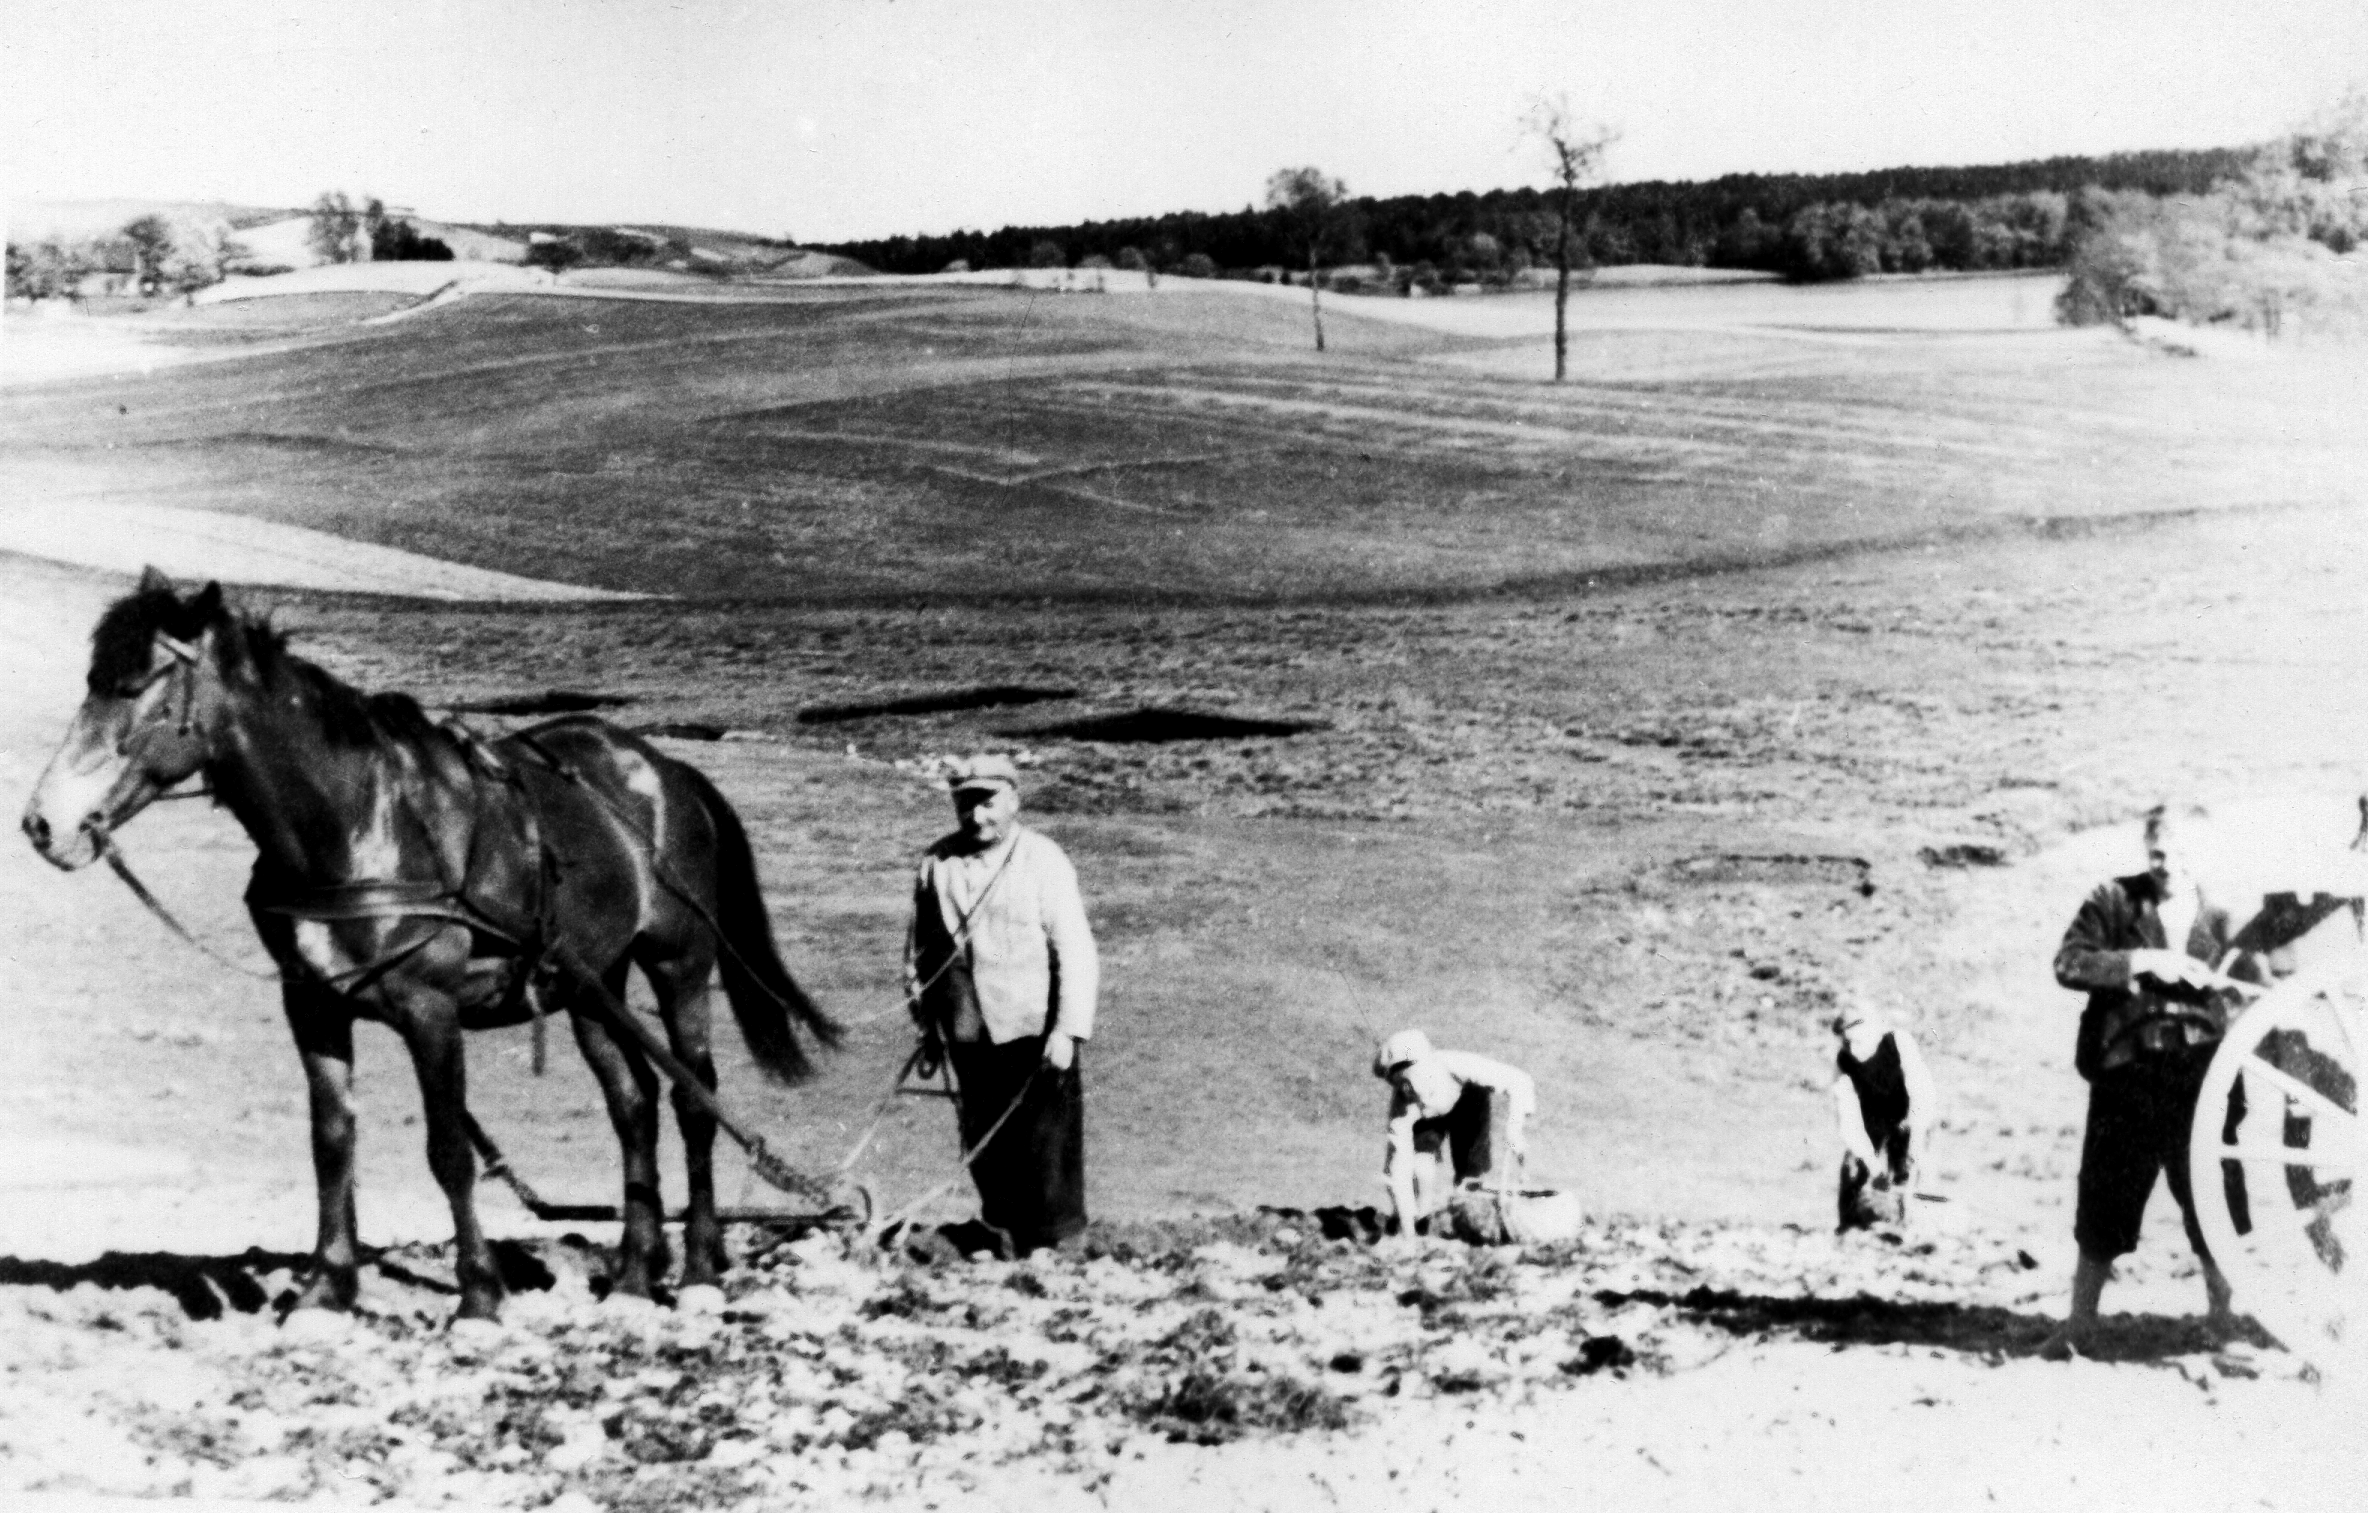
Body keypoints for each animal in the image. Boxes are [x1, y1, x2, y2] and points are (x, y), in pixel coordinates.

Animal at [20, 572, 843, 1316]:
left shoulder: (430, 1009)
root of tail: (666, 770)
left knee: (694, 1098)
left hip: (678, 961)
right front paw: (326, 1289)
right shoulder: (312, 1004)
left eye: (137, 688)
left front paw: (478, 1295)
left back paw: (699, 1270)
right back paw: (637, 1277)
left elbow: (448, 1153)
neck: (358, 825)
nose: (42, 823)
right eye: (93, 683)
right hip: (589, 983)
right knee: (633, 1104)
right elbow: (332, 1141)